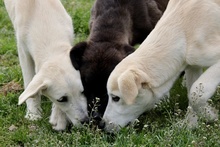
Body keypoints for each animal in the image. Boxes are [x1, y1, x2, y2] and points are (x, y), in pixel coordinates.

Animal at [3, 0, 88, 131]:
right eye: (61, 99)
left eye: (84, 91)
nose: (86, 121)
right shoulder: (23, 51)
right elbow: (29, 82)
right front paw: (33, 114)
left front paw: (58, 116)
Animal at [102, 0, 220, 132]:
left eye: (115, 98)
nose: (101, 125)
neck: (182, 32)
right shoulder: (192, 65)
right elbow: (193, 93)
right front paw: (190, 124)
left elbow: (197, 93)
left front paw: (210, 114)